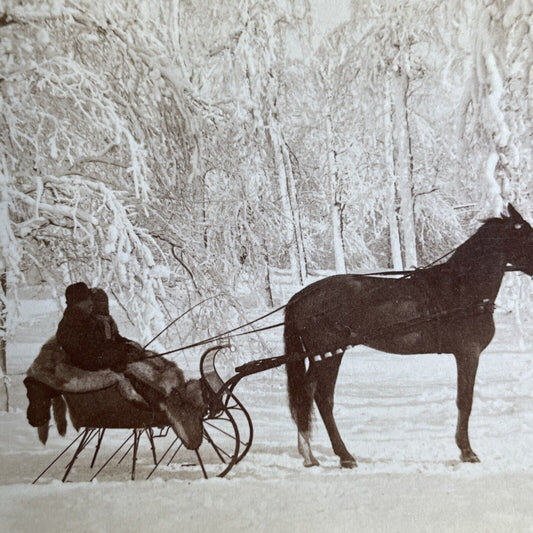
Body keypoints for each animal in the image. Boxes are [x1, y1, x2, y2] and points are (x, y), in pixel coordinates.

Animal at [284, 204, 532, 466]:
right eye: (528, 236)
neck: (461, 288)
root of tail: (302, 296)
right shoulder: (468, 352)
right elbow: (465, 401)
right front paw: (467, 451)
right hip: (330, 353)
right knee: (322, 397)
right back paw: (344, 455)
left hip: (321, 356)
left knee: (306, 393)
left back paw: (309, 454)